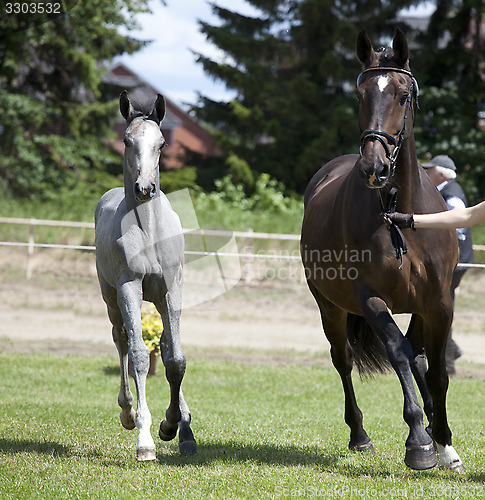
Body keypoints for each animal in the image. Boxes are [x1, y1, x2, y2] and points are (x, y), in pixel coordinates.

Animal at [94, 91, 195, 460]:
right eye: (126, 140)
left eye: (162, 143)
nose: (144, 188)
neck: (150, 232)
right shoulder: (129, 287)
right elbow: (138, 356)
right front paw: (146, 439)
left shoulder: (172, 288)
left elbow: (175, 359)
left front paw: (174, 425)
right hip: (111, 297)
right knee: (121, 339)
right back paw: (128, 412)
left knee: (165, 345)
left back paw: (184, 427)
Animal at [300, 29, 464, 470]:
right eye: (360, 95)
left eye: (403, 96)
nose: (373, 167)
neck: (400, 213)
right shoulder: (370, 300)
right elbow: (399, 353)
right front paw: (420, 441)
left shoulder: (438, 303)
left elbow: (436, 371)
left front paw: (445, 442)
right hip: (330, 307)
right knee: (344, 360)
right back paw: (360, 435)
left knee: (421, 358)